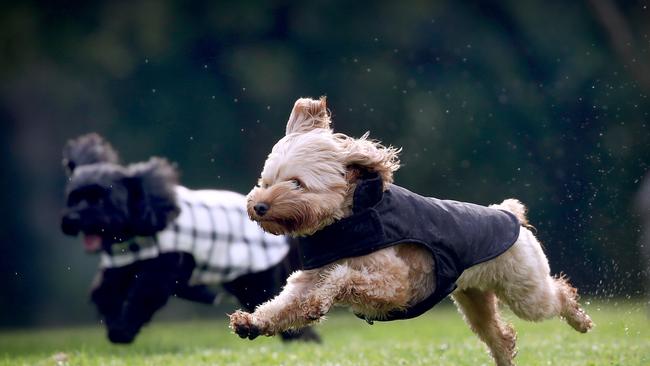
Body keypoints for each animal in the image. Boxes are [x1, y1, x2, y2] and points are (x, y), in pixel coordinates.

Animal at [59, 134, 318, 344]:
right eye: (73, 197)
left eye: (103, 200)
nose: (72, 219)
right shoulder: (121, 265)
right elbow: (104, 293)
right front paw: (115, 326)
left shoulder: (163, 269)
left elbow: (141, 297)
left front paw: (123, 331)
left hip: (255, 281)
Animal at [230, 97, 588, 366]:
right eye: (266, 181)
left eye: (297, 184)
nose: (258, 206)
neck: (345, 223)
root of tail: (508, 212)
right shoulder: (305, 280)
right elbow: (283, 305)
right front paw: (251, 322)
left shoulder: (396, 284)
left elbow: (343, 278)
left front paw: (322, 299)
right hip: (474, 299)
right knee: (499, 336)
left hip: (524, 289)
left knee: (557, 294)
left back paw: (580, 320)